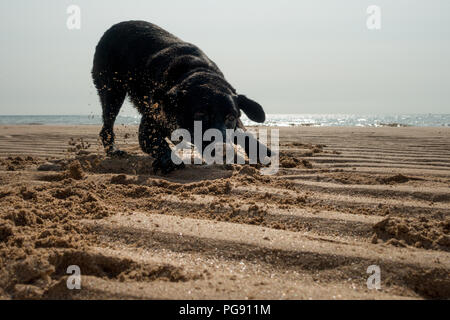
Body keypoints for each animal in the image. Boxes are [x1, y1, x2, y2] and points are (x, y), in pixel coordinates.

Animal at [90, 20, 268, 172]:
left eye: (230, 117)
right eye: (200, 115)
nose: (222, 150)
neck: (196, 72)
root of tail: (115, 27)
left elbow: (245, 134)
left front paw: (261, 151)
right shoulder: (148, 128)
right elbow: (159, 144)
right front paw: (168, 161)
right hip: (112, 91)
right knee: (107, 126)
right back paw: (113, 151)